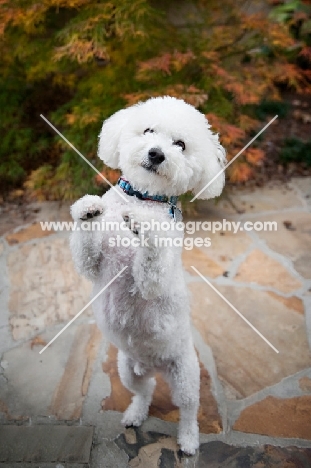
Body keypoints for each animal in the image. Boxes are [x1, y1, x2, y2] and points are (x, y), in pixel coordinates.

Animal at [70, 96, 227, 454]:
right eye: (148, 131)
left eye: (180, 145)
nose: (157, 153)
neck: (144, 196)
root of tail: (152, 365)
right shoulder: (93, 266)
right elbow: (86, 249)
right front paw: (87, 209)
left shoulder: (151, 279)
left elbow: (152, 255)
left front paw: (143, 222)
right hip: (127, 370)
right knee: (145, 391)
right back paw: (135, 413)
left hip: (185, 376)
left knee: (189, 409)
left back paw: (188, 440)